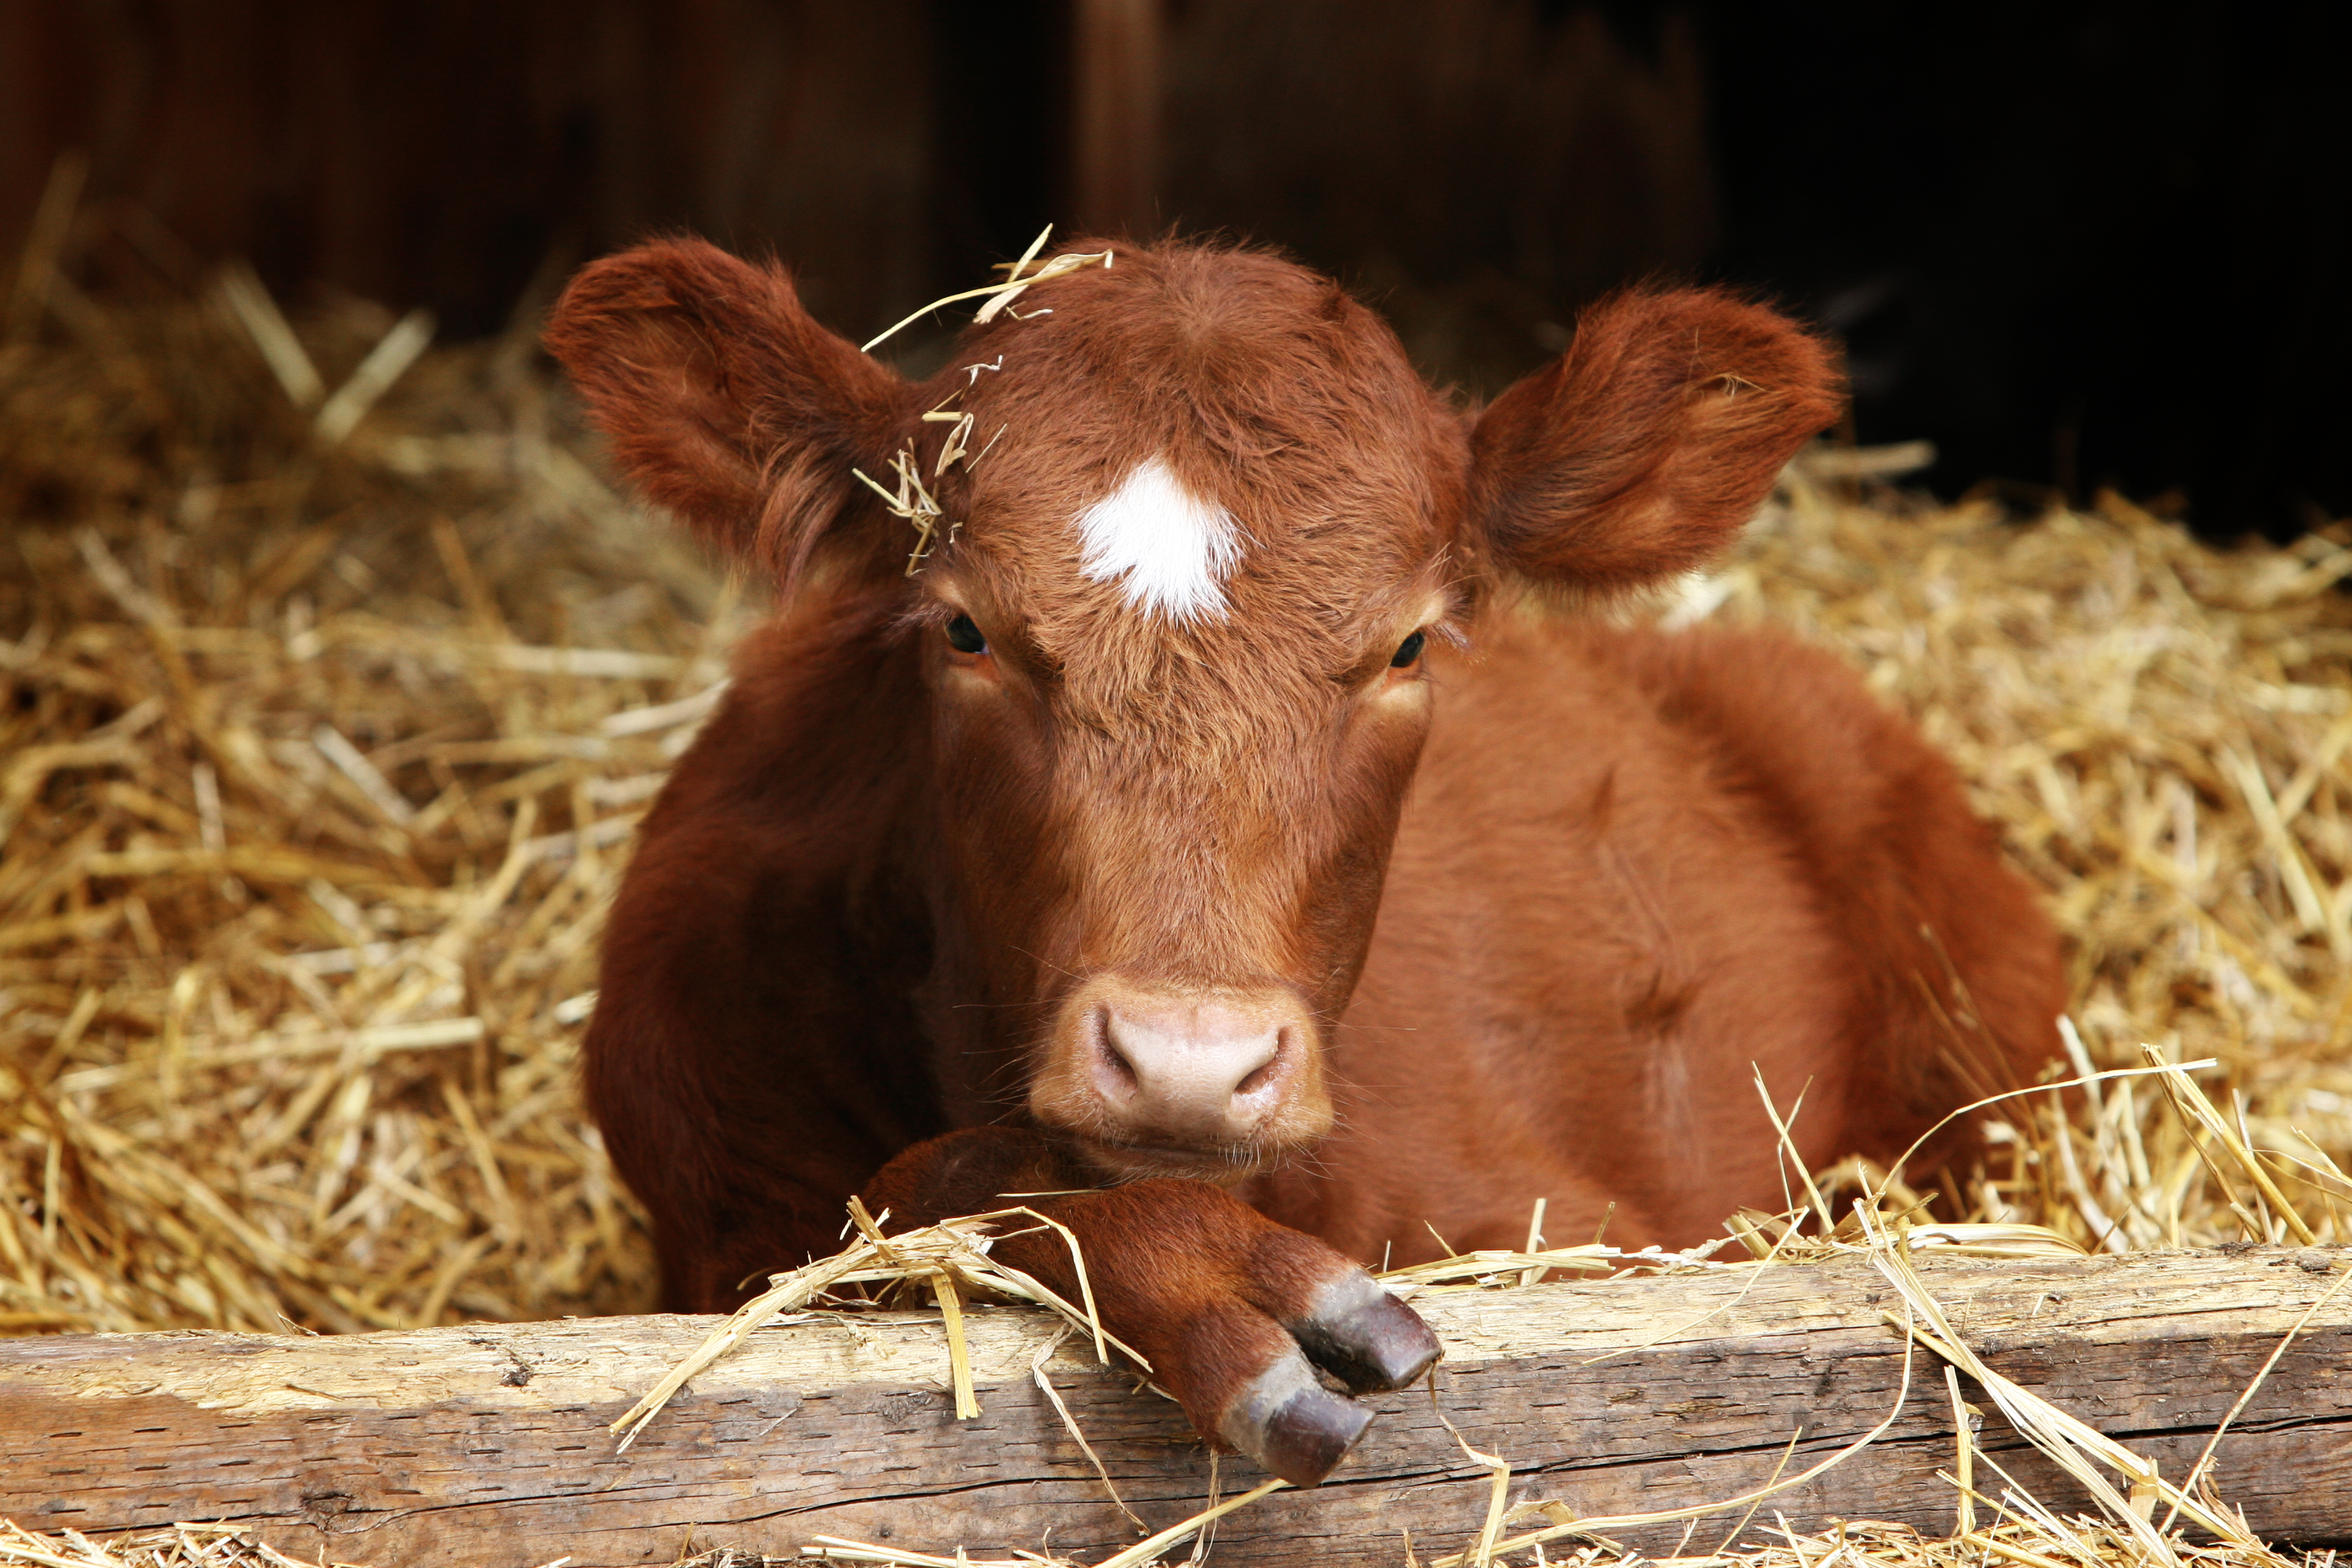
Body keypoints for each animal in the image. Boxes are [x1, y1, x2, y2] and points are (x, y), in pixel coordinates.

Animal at [542, 236, 2064, 1488]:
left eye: (1408, 643)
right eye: (963, 628)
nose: (1187, 1061)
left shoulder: (1606, 1236)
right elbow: (896, 1205)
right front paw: (1194, 1268)